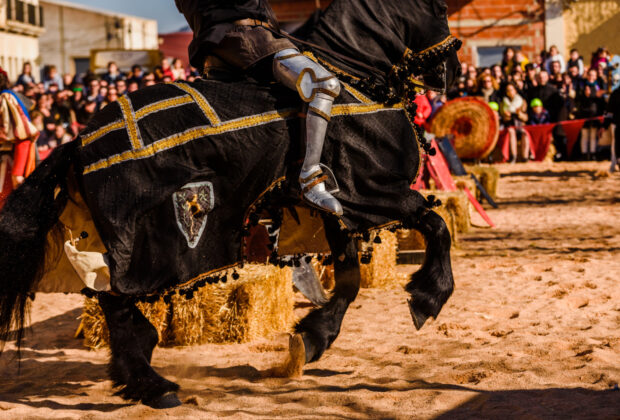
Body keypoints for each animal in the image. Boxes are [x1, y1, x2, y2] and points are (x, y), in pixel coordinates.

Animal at [0, 0, 460, 408]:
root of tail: (78, 141)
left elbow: (349, 278)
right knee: (116, 302)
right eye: (439, 10)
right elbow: (436, 223)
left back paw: (140, 377)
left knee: (112, 301)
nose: (452, 72)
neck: (357, 77)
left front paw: (313, 337)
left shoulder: (339, 210)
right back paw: (151, 384)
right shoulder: (371, 191)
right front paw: (428, 295)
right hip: (144, 245)